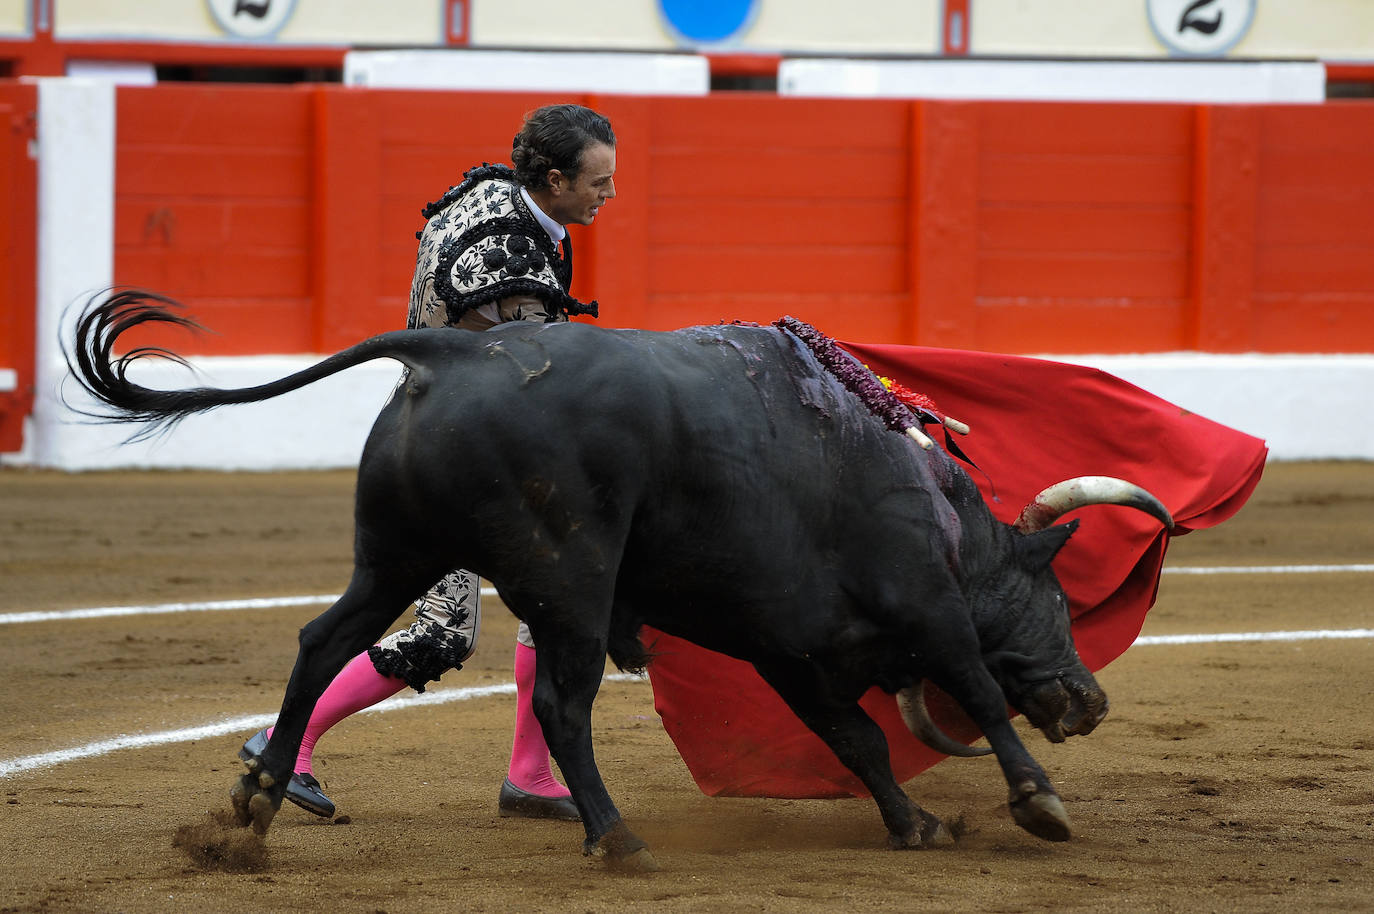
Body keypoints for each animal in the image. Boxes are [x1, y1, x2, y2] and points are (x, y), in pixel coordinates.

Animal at [66, 294, 1170, 868]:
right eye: (1060, 603)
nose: (1092, 699)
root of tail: (451, 351)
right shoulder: (926, 606)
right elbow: (977, 688)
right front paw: (1038, 801)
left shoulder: (788, 646)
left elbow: (853, 736)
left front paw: (913, 822)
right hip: (572, 578)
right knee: (562, 699)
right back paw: (614, 834)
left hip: (395, 553)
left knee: (325, 641)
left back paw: (256, 801)